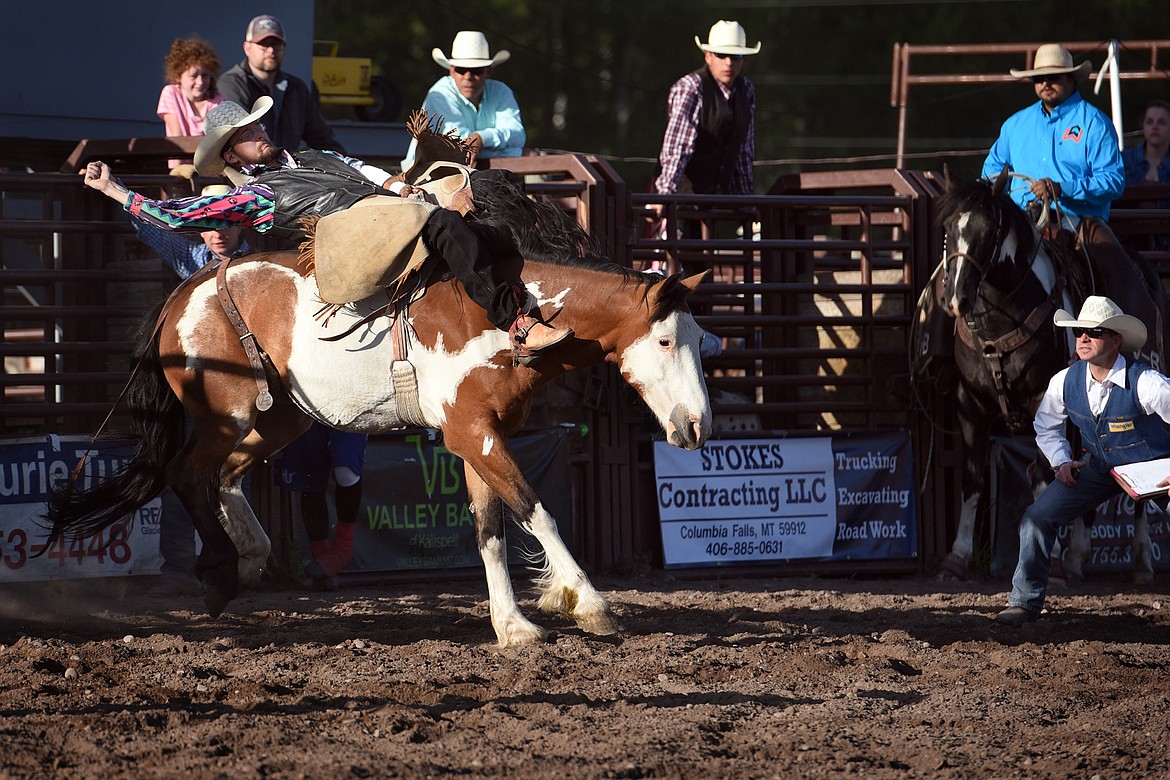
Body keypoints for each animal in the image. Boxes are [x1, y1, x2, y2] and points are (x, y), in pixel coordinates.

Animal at [917, 170, 1165, 582]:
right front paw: (957, 557)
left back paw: (1142, 559)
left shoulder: (1040, 403)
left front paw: (1050, 561)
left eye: (989, 232)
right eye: (950, 229)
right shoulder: (970, 405)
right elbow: (973, 480)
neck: (1001, 323)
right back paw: (1079, 555)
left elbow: (1043, 476)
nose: (957, 300)